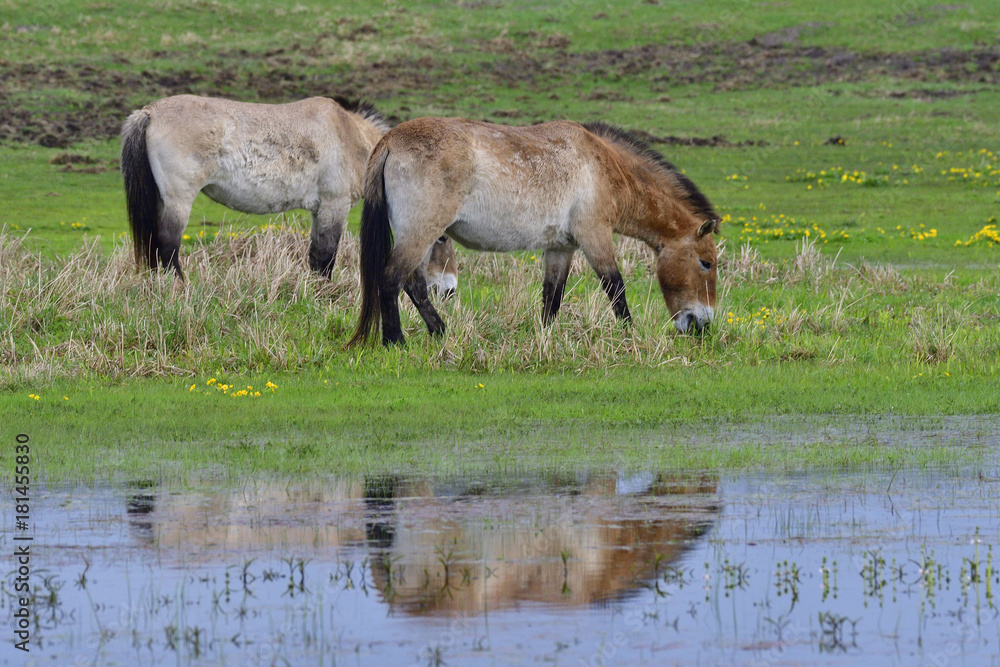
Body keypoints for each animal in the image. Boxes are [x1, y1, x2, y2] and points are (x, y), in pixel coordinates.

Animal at [120, 94, 458, 283]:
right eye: (442, 237)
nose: (450, 290)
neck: (350, 135)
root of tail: (149, 112)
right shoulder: (334, 206)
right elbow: (325, 259)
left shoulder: (319, 211)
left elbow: (316, 258)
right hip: (178, 200)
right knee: (167, 248)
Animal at [348, 117, 720, 346]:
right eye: (706, 263)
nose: (702, 324)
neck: (604, 167)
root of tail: (390, 140)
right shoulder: (595, 237)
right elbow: (615, 287)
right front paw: (630, 336)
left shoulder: (561, 247)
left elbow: (552, 295)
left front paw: (544, 339)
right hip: (421, 233)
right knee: (391, 279)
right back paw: (396, 341)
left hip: (423, 237)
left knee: (414, 285)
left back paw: (439, 331)